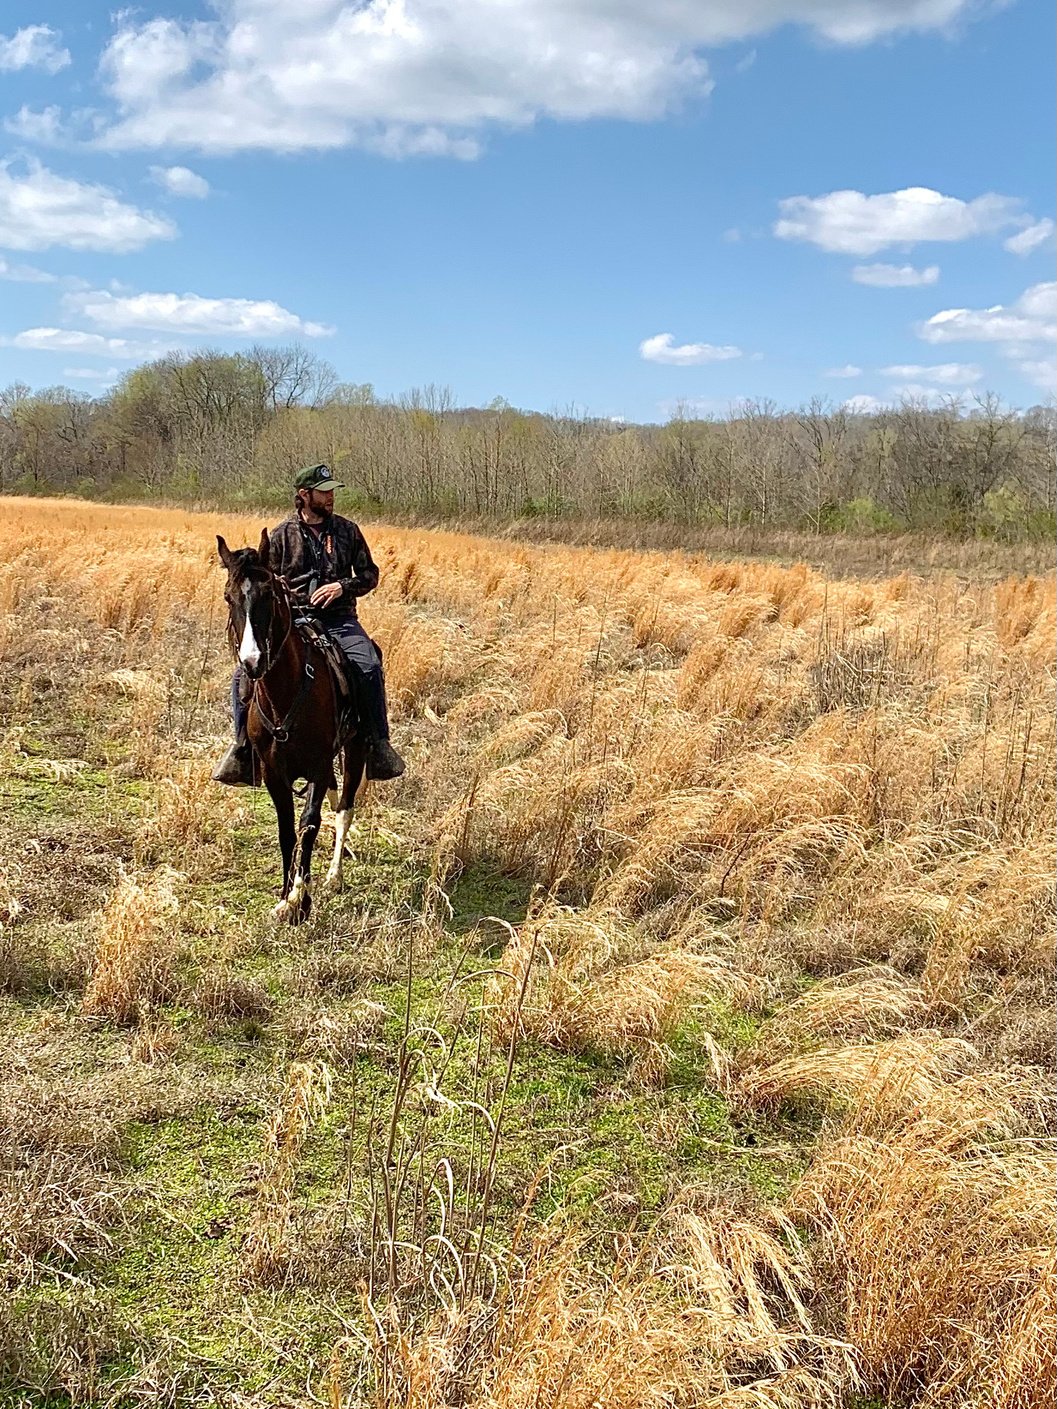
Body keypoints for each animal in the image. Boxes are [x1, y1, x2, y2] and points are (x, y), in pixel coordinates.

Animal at [215, 529, 369, 924]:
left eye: (269, 594)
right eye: (228, 596)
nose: (252, 662)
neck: (285, 694)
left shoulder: (318, 765)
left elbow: (309, 823)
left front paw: (302, 895)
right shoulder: (274, 772)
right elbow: (287, 829)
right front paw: (286, 896)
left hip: (356, 749)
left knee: (344, 808)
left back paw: (334, 875)